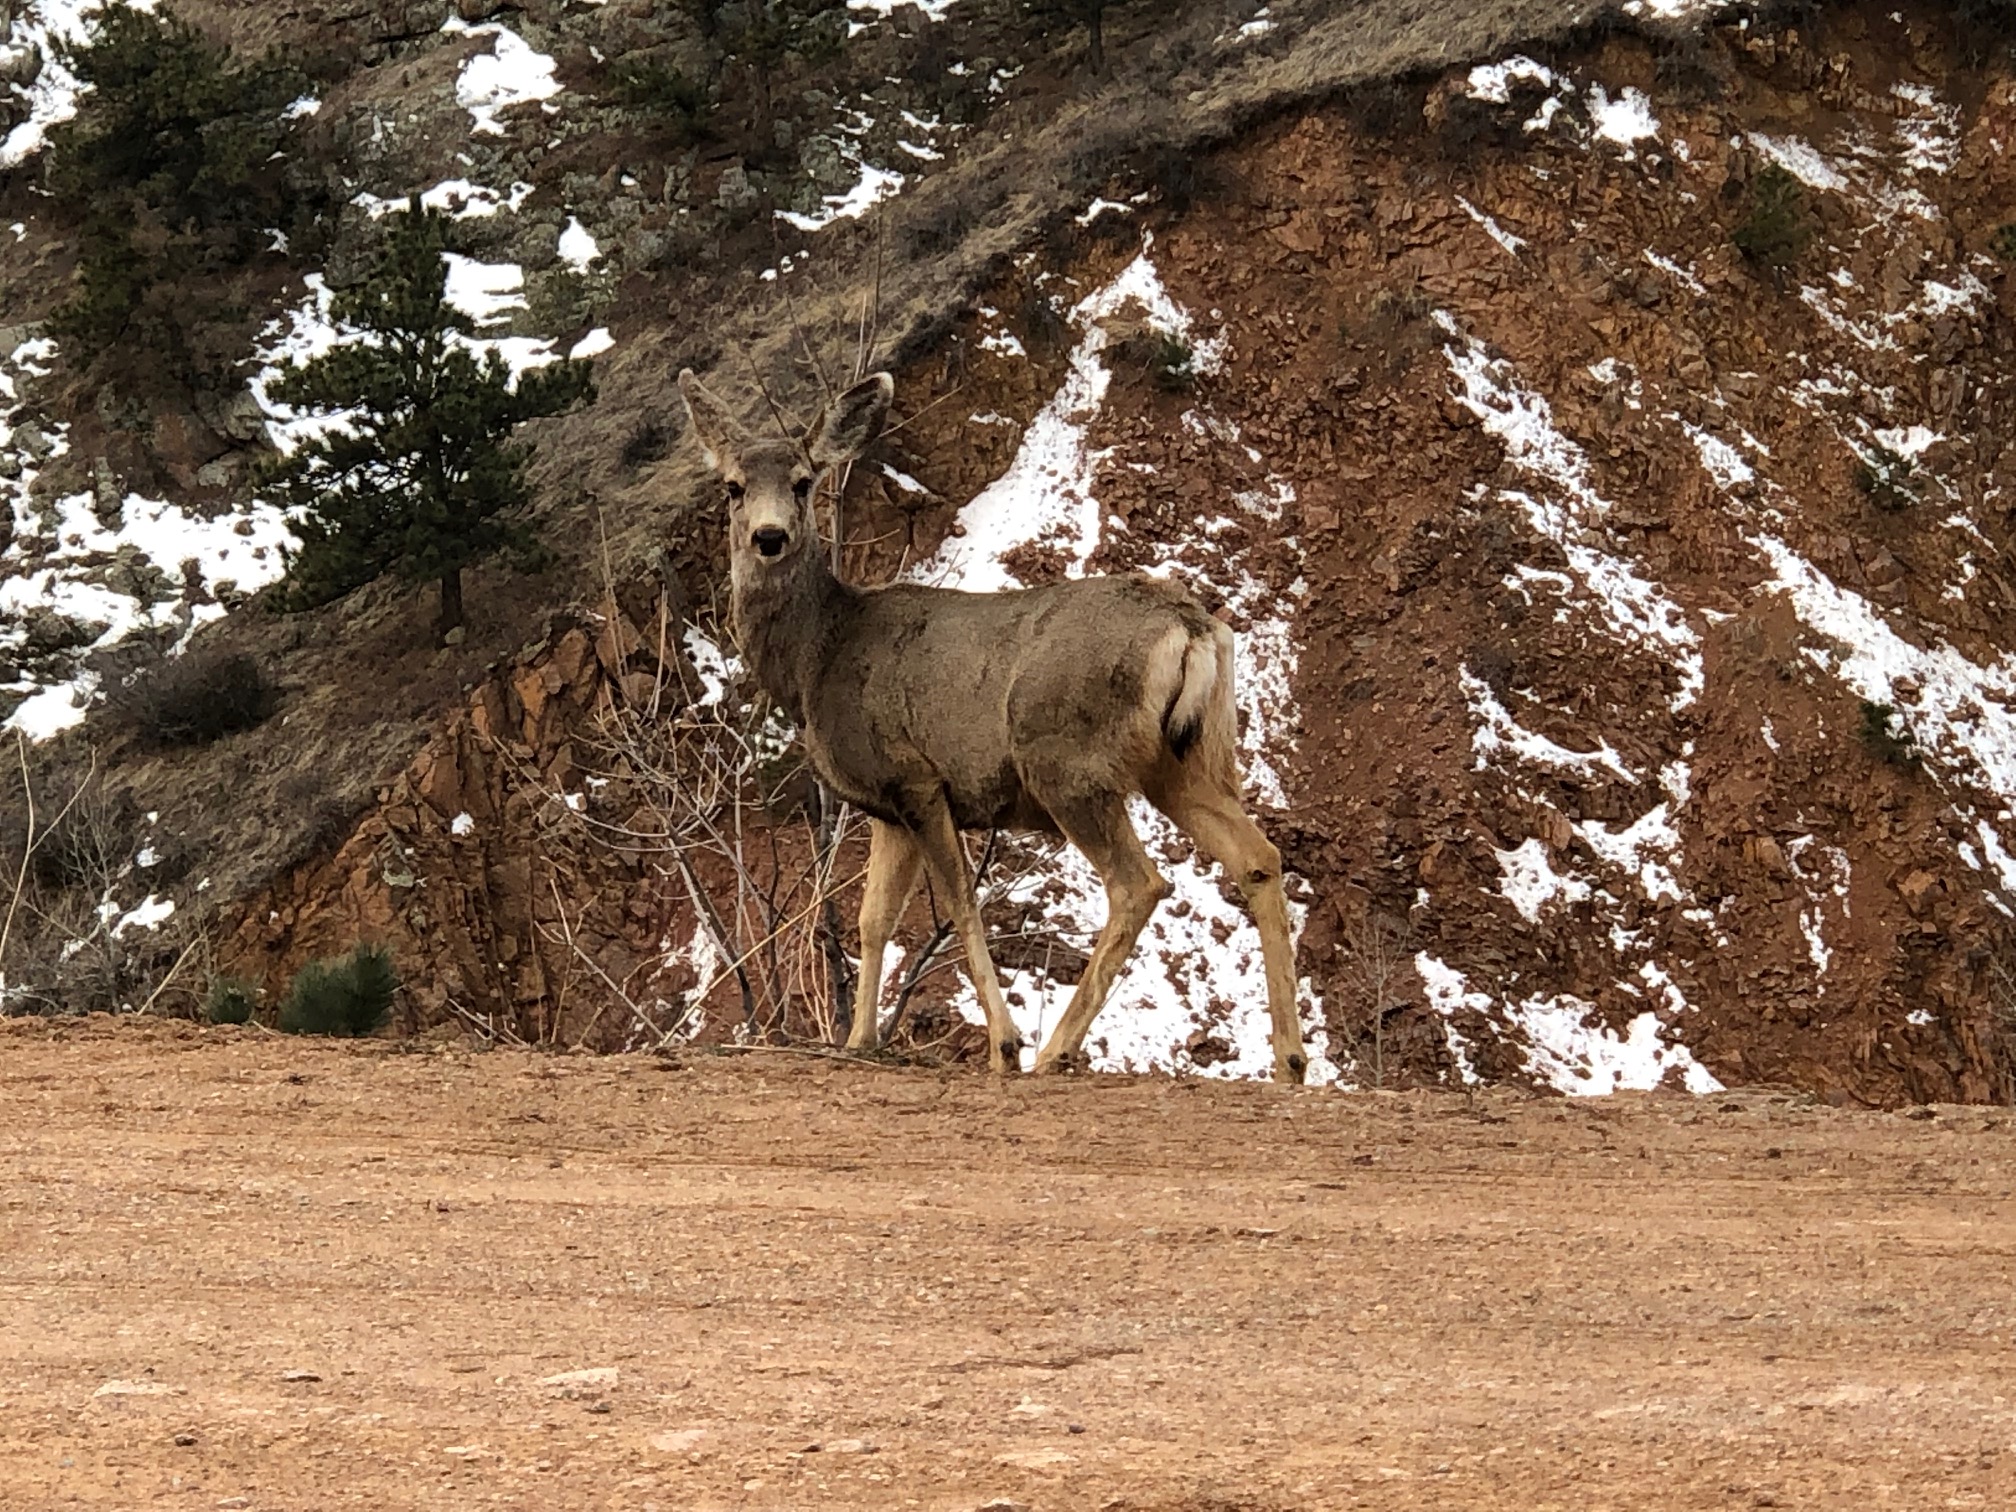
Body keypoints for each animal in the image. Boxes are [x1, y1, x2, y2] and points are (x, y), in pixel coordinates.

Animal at [673, 368, 1306, 1080]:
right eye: (734, 486)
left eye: (805, 481)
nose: (770, 536)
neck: (818, 658)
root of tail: (1192, 626)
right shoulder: (887, 807)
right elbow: (873, 920)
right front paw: (860, 1040)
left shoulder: (917, 777)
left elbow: (956, 902)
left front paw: (1002, 1044)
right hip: (1188, 759)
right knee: (1258, 858)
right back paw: (1290, 1061)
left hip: (1066, 759)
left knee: (1138, 883)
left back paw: (1054, 1051)